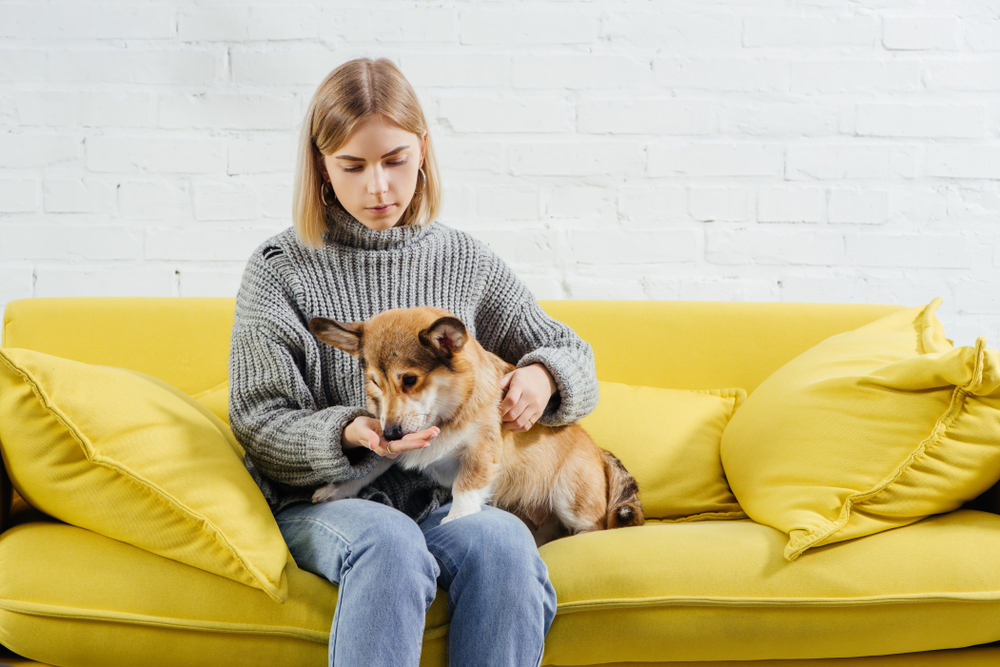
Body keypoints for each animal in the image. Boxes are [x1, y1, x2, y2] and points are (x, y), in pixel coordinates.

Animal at [308, 306, 644, 544]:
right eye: (375, 383)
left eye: (410, 380)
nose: (390, 434)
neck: (446, 412)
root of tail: (601, 452)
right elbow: (370, 467)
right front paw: (336, 490)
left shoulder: (481, 451)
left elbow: (465, 488)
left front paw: (456, 519)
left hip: (568, 497)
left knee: (598, 527)